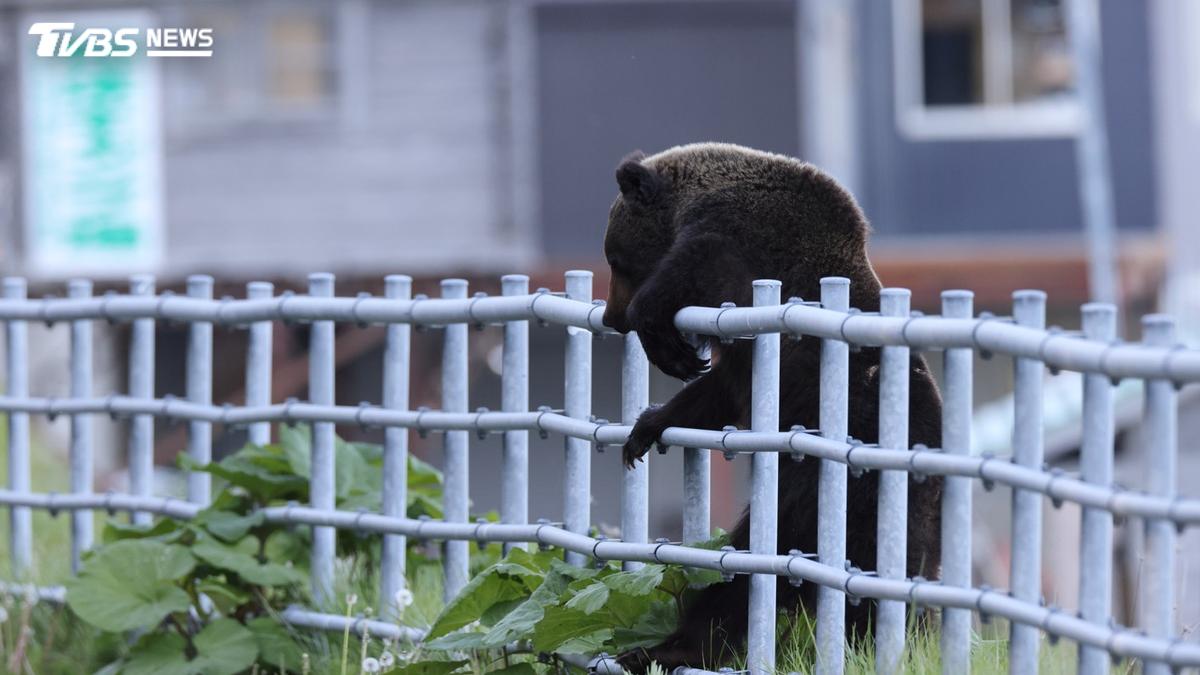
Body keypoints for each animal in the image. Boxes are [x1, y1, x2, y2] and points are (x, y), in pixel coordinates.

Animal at [600, 143, 943, 671]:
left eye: (615, 258)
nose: (611, 316)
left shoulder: (738, 242)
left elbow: (693, 269)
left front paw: (665, 342)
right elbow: (717, 391)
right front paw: (646, 427)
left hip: (830, 489)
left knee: (755, 568)